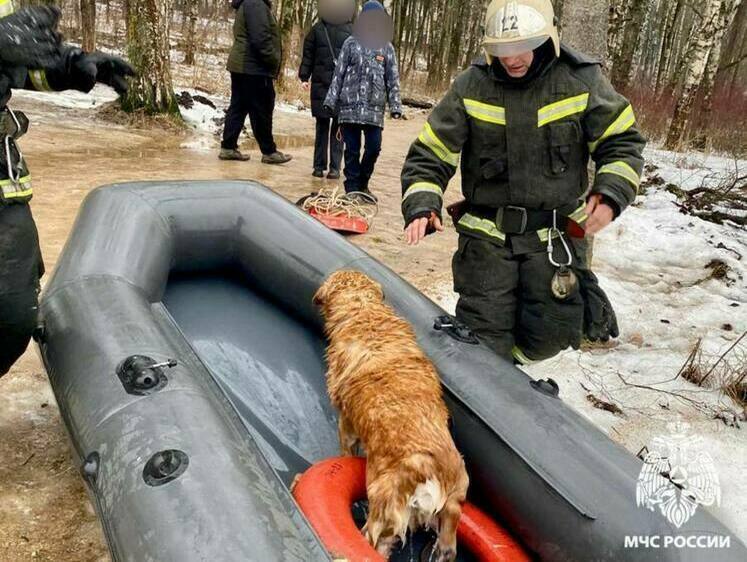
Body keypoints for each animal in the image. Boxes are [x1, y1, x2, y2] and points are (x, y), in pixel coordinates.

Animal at [314, 270, 468, 556]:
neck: (364, 310)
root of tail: (427, 471)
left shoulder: (346, 423)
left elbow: (346, 450)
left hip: (382, 512)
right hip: (456, 498)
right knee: (448, 539)